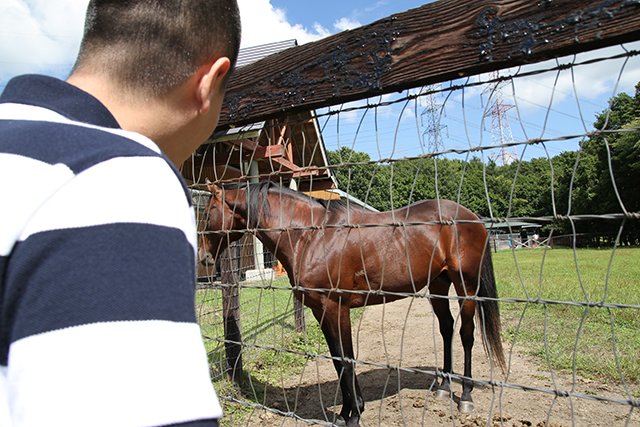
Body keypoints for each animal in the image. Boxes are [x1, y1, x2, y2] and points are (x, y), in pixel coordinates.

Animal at [204, 181, 504, 427]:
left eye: (207, 213)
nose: (206, 260)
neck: (310, 235)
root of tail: (472, 218)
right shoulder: (320, 310)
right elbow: (338, 359)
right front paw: (348, 411)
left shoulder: (337, 308)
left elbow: (347, 359)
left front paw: (353, 415)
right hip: (439, 285)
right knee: (447, 328)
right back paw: (443, 386)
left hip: (467, 287)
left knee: (466, 334)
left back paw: (465, 395)